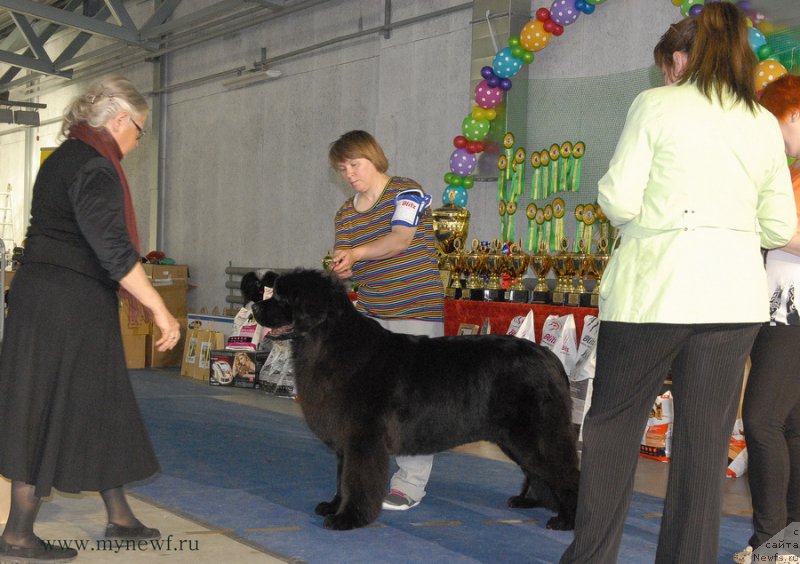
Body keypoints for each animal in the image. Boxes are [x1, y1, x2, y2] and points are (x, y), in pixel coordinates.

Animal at [247, 270, 580, 532]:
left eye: (282, 297)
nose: (254, 306)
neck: (326, 342)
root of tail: (549, 357)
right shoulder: (347, 440)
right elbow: (342, 478)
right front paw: (333, 505)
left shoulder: (363, 439)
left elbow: (356, 479)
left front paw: (348, 518)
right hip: (516, 439)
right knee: (537, 470)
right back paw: (529, 501)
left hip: (535, 434)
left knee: (565, 472)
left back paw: (567, 519)